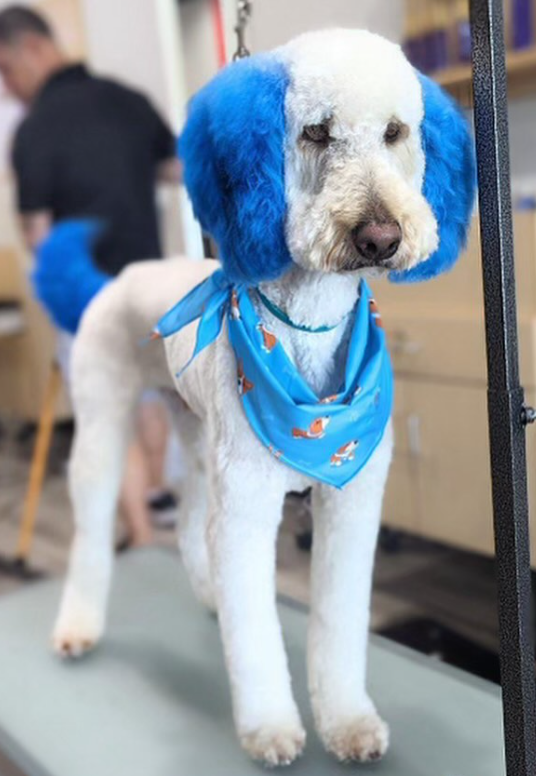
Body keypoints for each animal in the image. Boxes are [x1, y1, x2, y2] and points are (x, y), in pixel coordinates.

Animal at [53, 28, 474, 764]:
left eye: (396, 132)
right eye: (315, 132)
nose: (380, 237)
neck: (303, 334)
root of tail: (120, 277)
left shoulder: (351, 500)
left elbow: (340, 620)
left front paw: (348, 721)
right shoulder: (248, 508)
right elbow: (254, 637)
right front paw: (271, 727)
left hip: (198, 438)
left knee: (192, 526)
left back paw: (209, 593)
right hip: (103, 428)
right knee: (94, 533)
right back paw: (79, 625)